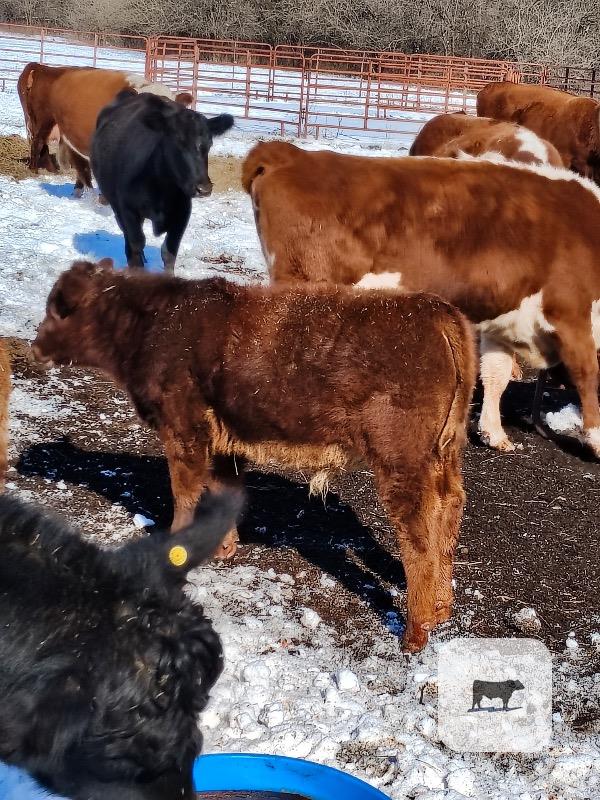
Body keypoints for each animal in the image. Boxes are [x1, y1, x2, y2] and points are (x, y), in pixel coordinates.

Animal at [32, 260, 476, 653]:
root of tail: (436, 311)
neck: (155, 321)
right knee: (449, 508)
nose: (36, 346)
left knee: (417, 533)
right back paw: (440, 610)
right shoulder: (224, 443)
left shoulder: (184, 432)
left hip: (402, 461)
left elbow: (184, 491)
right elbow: (221, 489)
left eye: (59, 308)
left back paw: (414, 634)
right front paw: (223, 548)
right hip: (443, 455)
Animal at [91, 92, 233, 271]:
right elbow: (136, 244)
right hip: (115, 205)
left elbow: (169, 252)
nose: (204, 189)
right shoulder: (127, 210)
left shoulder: (182, 213)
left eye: (209, 144)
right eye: (178, 142)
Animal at [242, 141, 600, 456]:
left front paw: (493, 433)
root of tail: (290, 154)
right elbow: (588, 377)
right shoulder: (572, 315)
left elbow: (495, 376)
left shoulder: (503, 321)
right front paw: (596, 441)